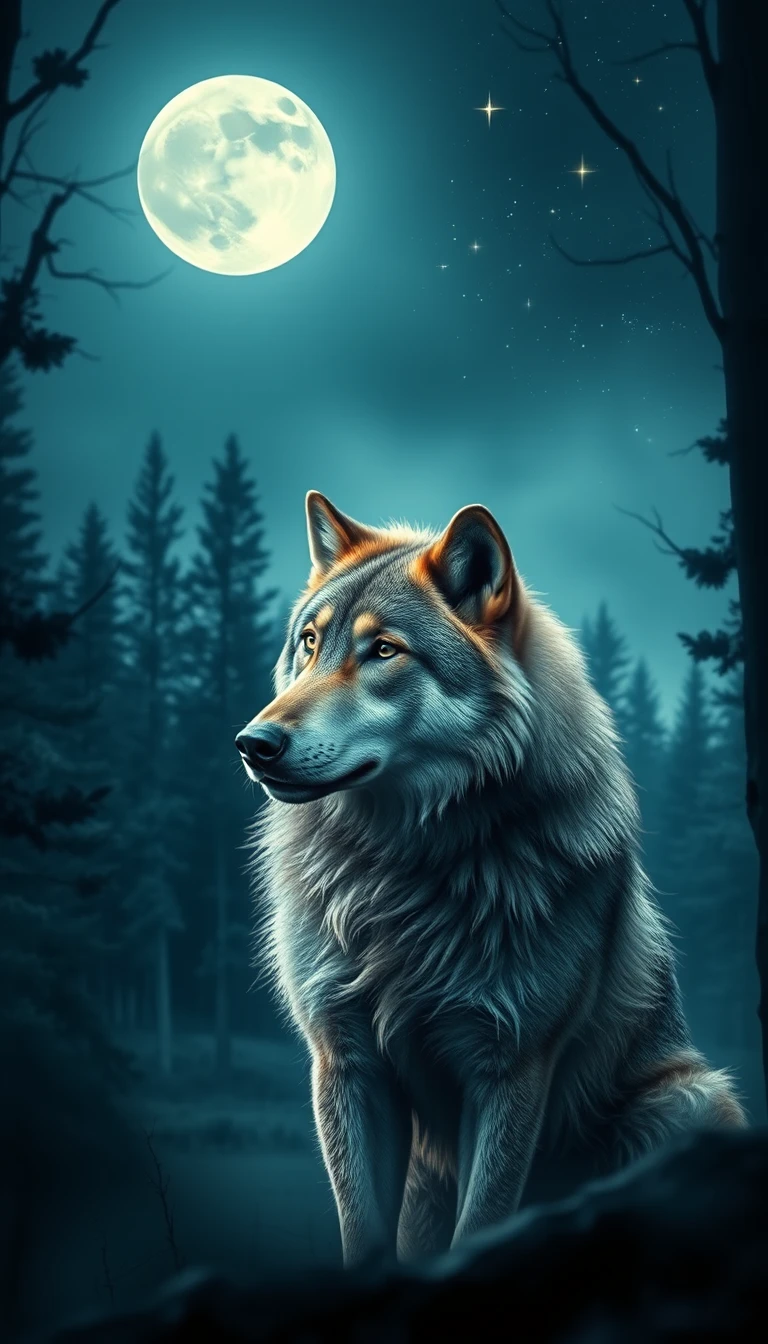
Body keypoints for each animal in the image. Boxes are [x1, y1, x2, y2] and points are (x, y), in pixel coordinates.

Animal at [237, 492, 746, 1267]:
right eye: (310, 643)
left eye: (384, 650)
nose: (253, 744)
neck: (404, 874)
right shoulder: (345, 1061)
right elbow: (363, 1233)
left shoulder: (510, 1068)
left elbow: (483, 1221)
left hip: (688, 1102)